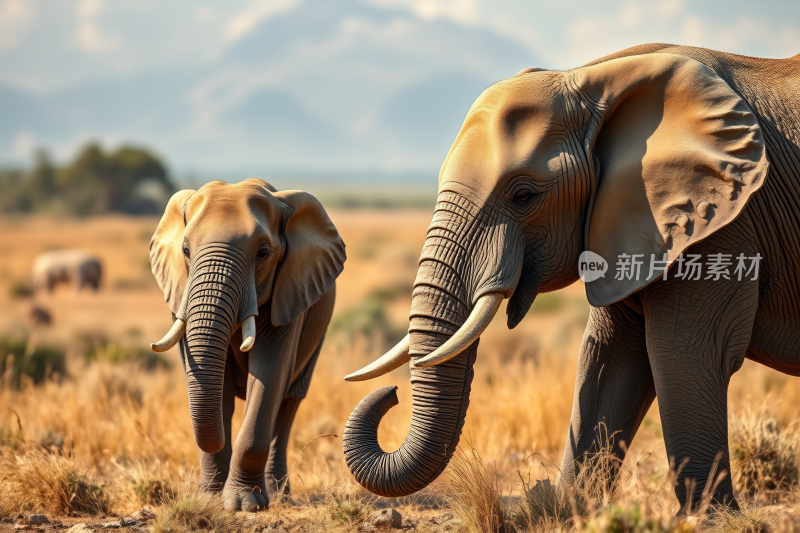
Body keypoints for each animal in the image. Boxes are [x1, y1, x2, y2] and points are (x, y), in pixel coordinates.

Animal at [148, 179, 346, 512]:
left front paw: (245, 504)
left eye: (263, 253)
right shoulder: (179, 294)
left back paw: (280, 496)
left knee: (289, 402)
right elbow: (219, 391)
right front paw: (211, 499)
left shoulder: (288, 293)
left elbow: (269, 374)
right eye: (185, 250)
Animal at [342, 43, 800, 510]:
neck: (591, 79)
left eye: (523, 196)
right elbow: (610, 357)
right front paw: (572, 509)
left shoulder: (722, 224)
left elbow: (683, 355)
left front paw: (711, 517)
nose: (392, 394)